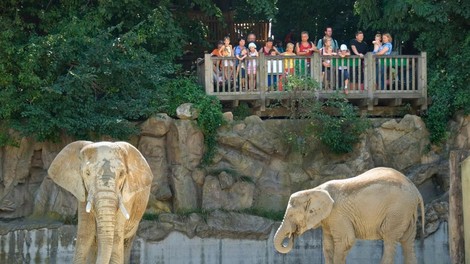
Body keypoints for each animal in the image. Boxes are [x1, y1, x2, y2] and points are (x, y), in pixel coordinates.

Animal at [274, 167, 424, 264]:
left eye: (292, 215)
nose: (291, 236)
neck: (314, 190)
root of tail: (416, 190)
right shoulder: (328, 219)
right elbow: (328, 245)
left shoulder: (338, 214)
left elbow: (345, 240)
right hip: (407, 212)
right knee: (408, 241)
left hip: (397, 210)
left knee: (389, 238)